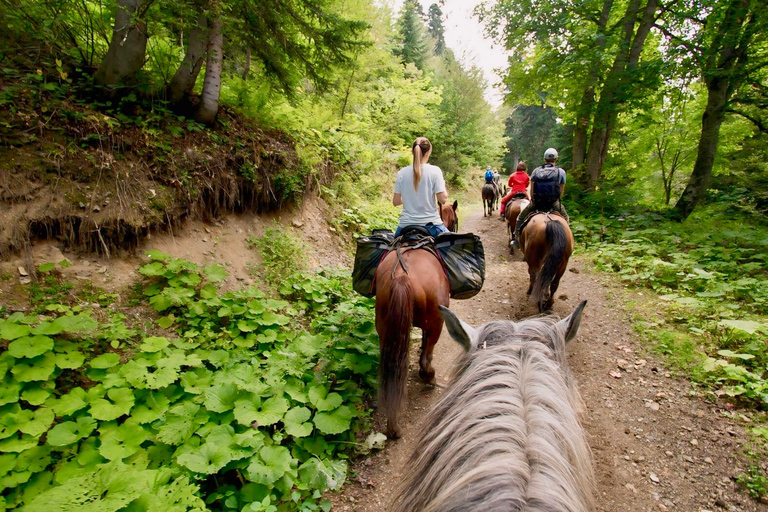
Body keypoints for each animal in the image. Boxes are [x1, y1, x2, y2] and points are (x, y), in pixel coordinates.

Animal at [374, 242, 450, 438]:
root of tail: (402, 276)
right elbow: (425, 348)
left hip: (385, 327)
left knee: (392, 371)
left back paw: (393, 427)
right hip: (437, 321)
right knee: (426, 356)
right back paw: (429, 377)